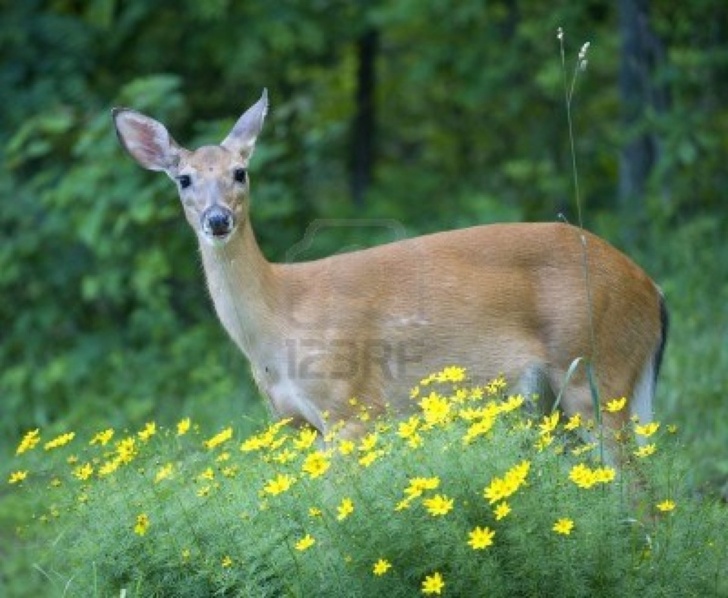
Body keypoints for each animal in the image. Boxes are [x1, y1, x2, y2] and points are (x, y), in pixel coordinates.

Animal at [111, 89, 668, 446]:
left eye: (240, 172)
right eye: (183, 179)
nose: (218, 219)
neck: (278, 320)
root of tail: (652, 289)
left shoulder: (350, 409)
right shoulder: (292, 423)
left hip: (598, 371)